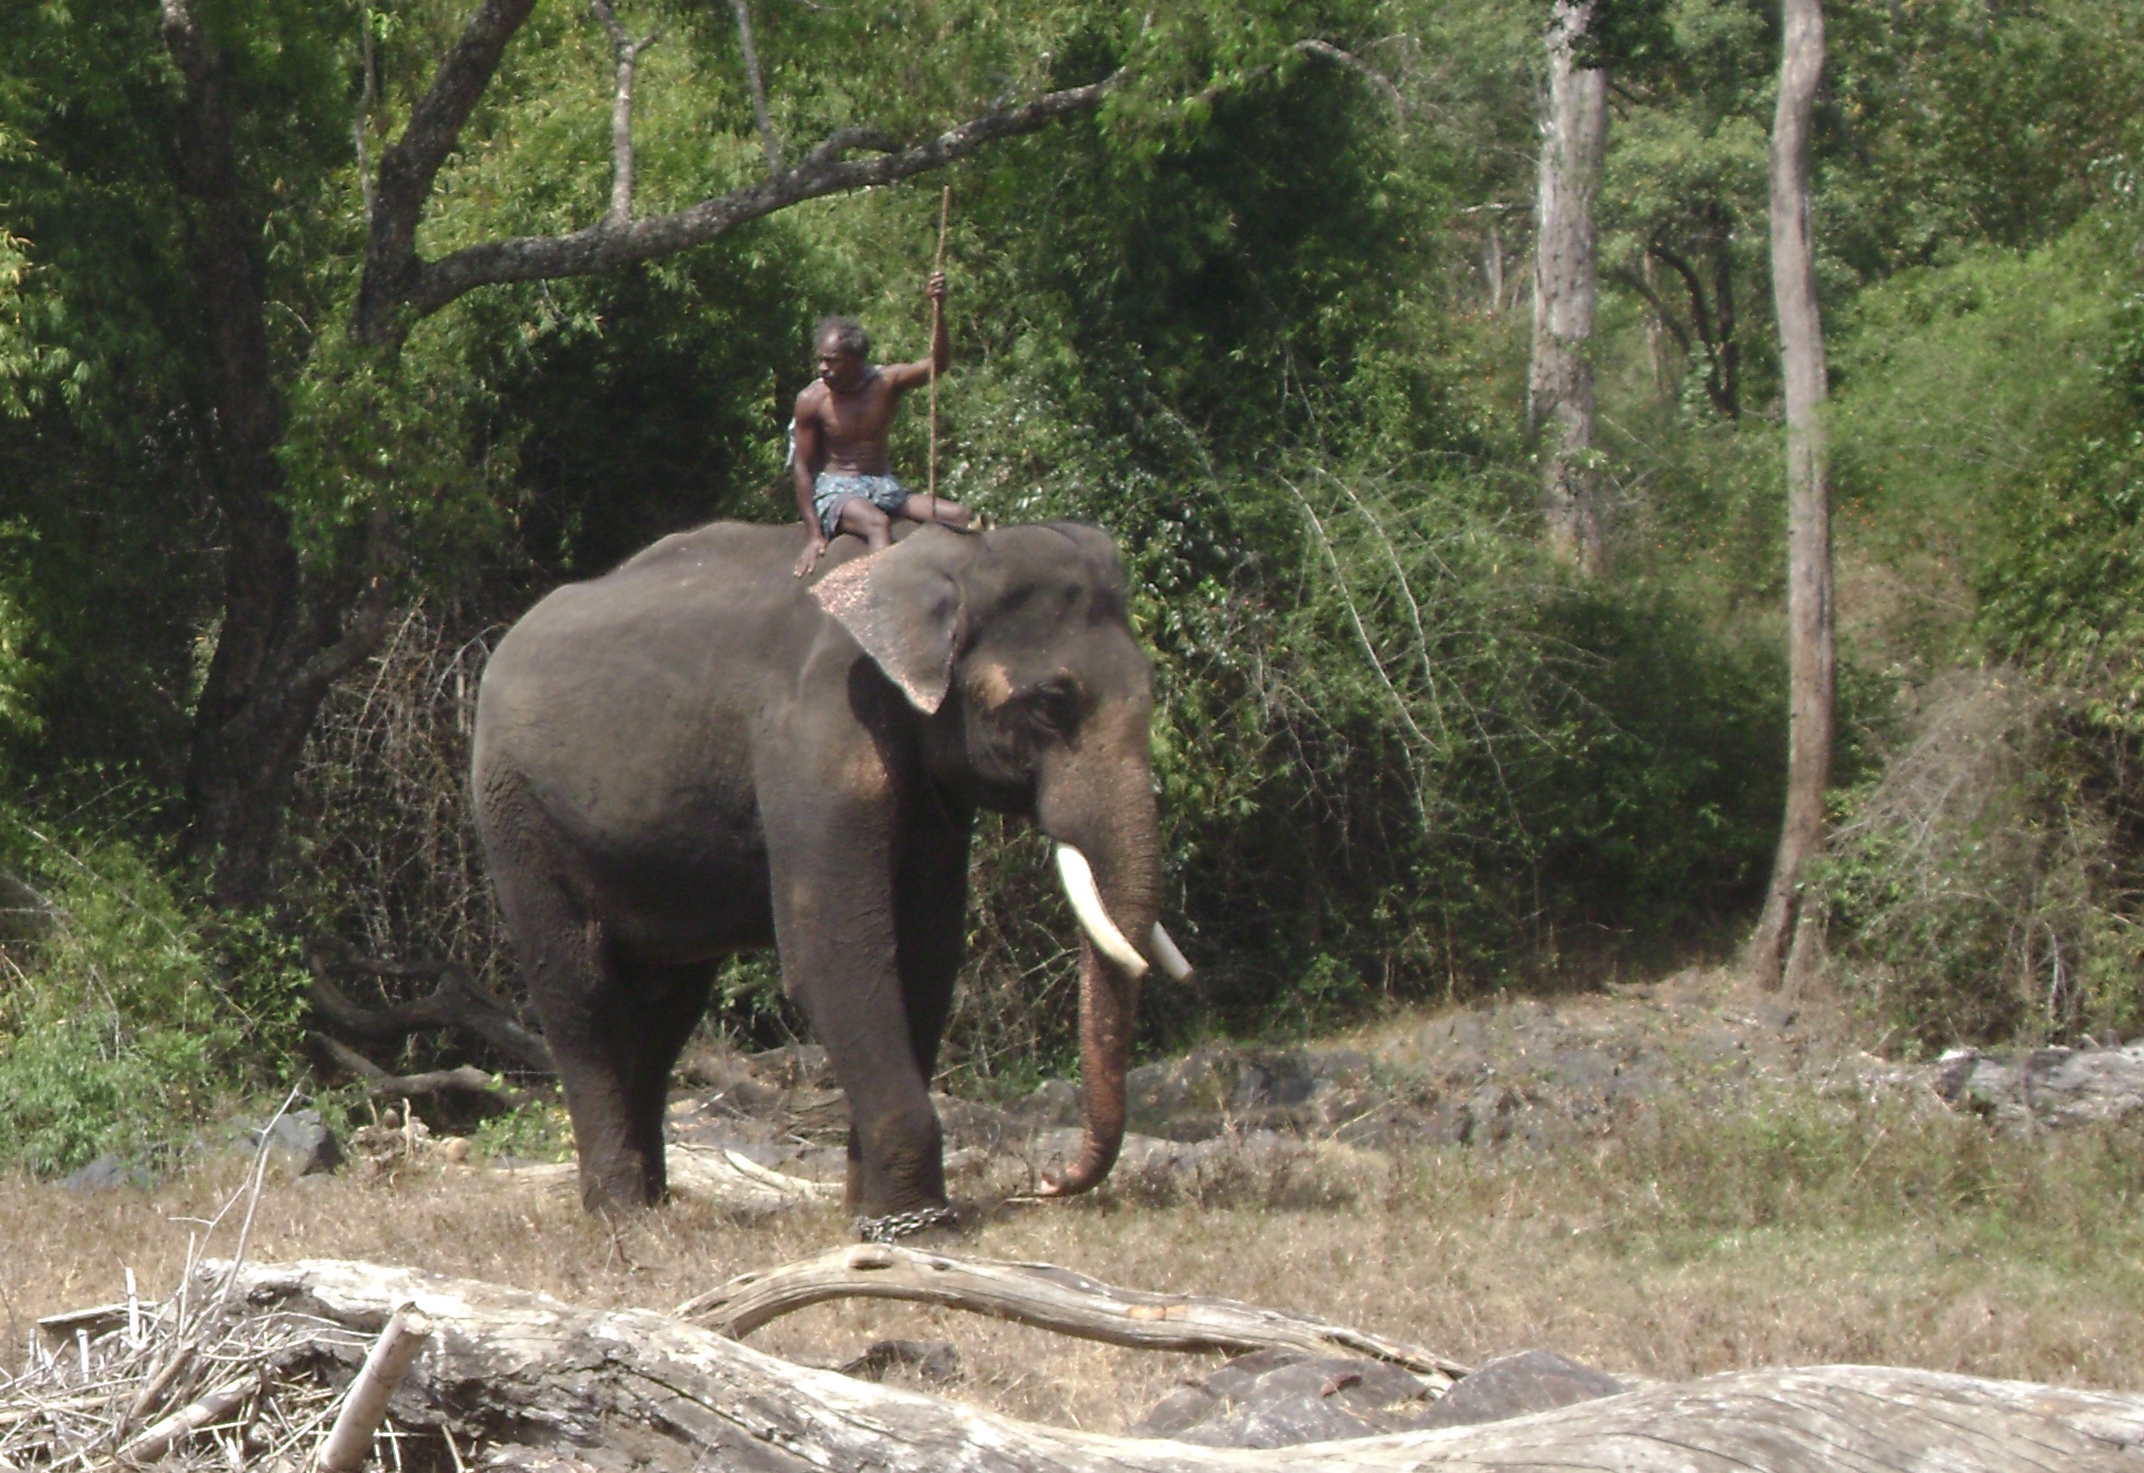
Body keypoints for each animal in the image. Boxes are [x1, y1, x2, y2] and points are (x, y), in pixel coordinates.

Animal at [467, 525, 1192, 1226]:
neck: (937, 552)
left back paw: (651, 1207)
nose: (1049, 1180)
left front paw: (873, 1212)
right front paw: (916, 1223)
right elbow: (834, 957)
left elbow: (927, 960)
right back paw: (623, 1219)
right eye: (1049, 702)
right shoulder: (818, 742)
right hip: (515, 812)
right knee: (578, 992)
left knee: (665, 1005)